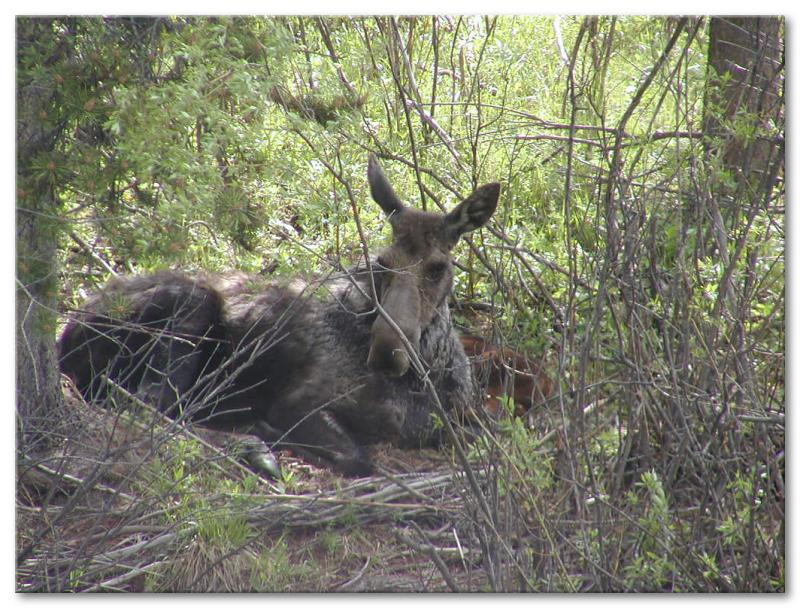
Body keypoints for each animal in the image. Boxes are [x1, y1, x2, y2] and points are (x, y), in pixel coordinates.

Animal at [59, 156, 500, 476]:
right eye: (382, 262)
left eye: (437, 267)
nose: (387, 351)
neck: (423, 381)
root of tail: (65, 337)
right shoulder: (298, 403)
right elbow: (359, 459)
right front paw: (269, 433)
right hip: (191, 305)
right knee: (151, 404)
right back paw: (253, 444)